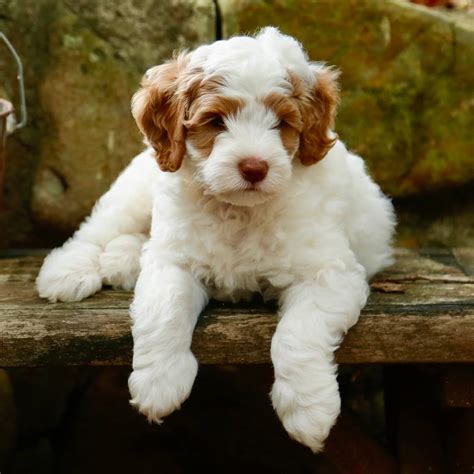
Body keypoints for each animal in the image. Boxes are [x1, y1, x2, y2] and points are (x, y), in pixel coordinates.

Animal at [35, 26, 394, 452]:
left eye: (282, 123)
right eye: (216, 121)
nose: (254, 168)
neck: (239, 211)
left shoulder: (329, 274)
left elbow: (298, 332)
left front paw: (308, 409)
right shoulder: (174, 260)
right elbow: (164, 309)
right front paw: (159, 383)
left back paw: (122, 261)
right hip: (136, 188)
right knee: (99, 227)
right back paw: (68, 270)